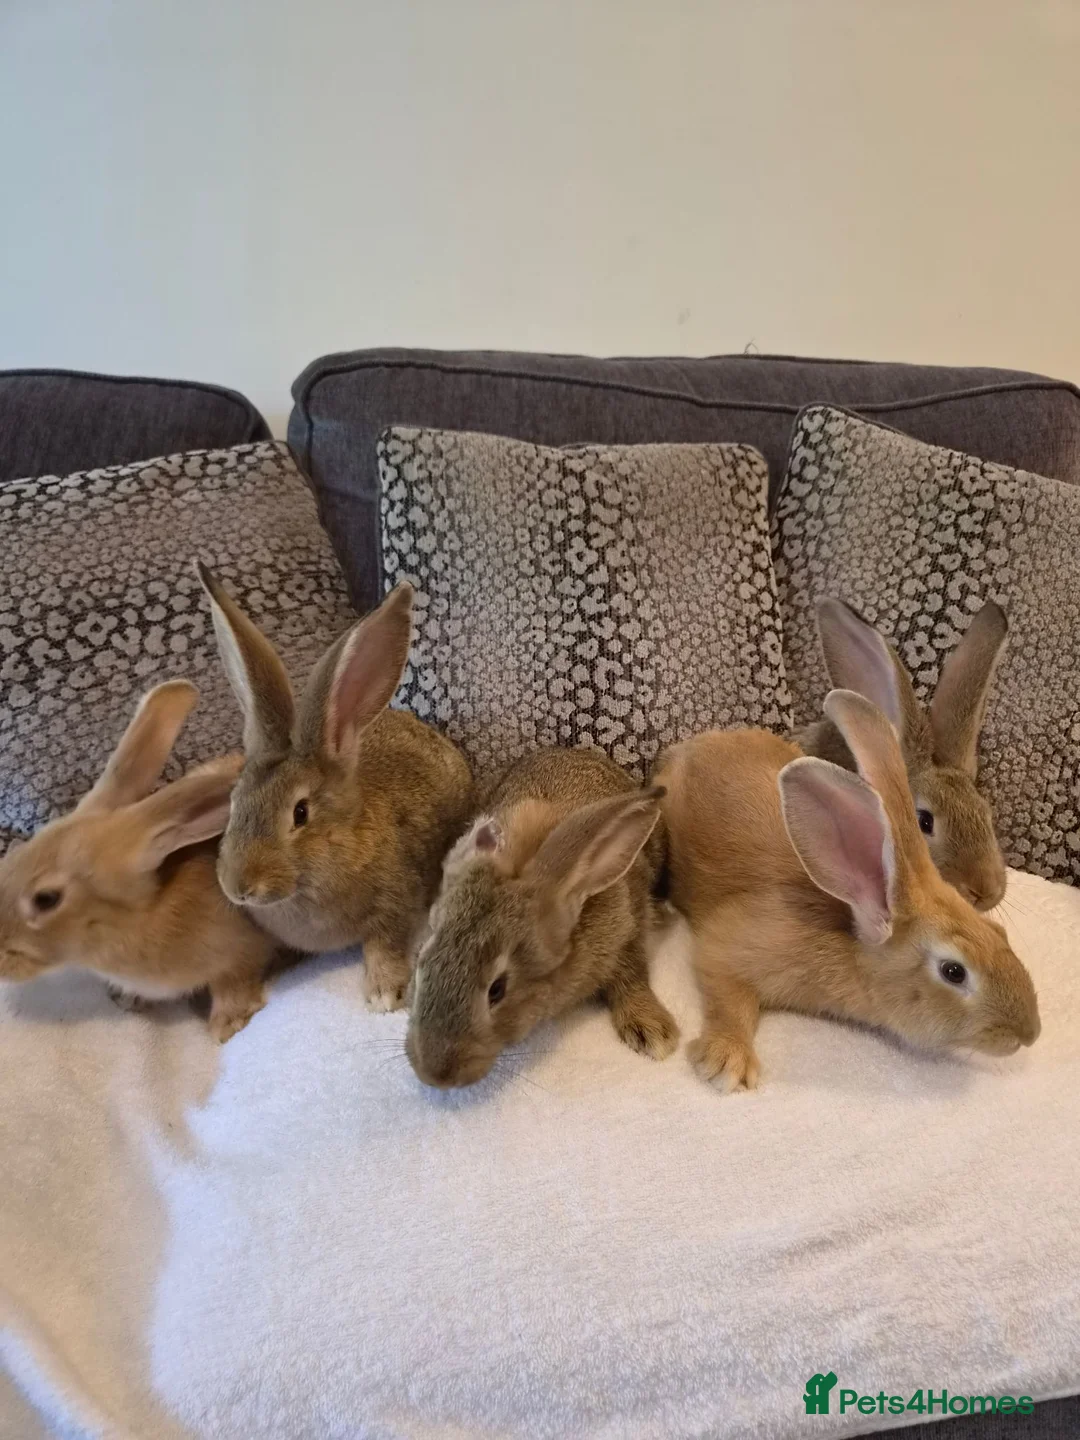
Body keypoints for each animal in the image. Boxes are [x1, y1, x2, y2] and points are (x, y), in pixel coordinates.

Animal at [0, 681, 277, 1042]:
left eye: (46, 899)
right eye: (12, 856)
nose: (1, 963)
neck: (143, 915)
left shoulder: (239, 953)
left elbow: (234, 983)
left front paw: (227, 1026)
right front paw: (126, 998)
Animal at [197, 566, 474, 1011]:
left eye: (300, 813)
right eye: (234, 804)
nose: (239, 888)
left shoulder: (394, 906)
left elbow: (384, 947)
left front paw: (383, 995)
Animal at [405, 747, 680, 1088]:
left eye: (497, 990)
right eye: (421, 961)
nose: (434, 1074)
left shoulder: (629, 926)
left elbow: (632, 974)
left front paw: (654, 1031)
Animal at [654, 688, 1039, 1094]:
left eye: (1000, 932)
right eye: (954, 972)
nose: (1028, 1033)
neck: (850, 931)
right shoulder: (728, 947)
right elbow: (730, 999)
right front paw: (728, 1062)